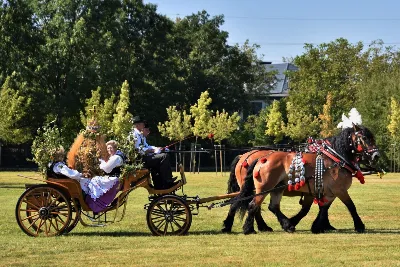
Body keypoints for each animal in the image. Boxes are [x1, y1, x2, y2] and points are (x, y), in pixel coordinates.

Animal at [236, 125, 380, 234]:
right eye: (365, 138)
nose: (376, 155)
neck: (335, 158)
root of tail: (262, 158)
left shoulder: (328, 192)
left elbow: (323, 208)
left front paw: (318, 226)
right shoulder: (340, 190)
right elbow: (351, 206)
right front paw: (359, 225)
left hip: (277, 188)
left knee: (272, 206)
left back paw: (286, 225)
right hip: (264, 188)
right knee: (253, 205)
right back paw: (250, 229)